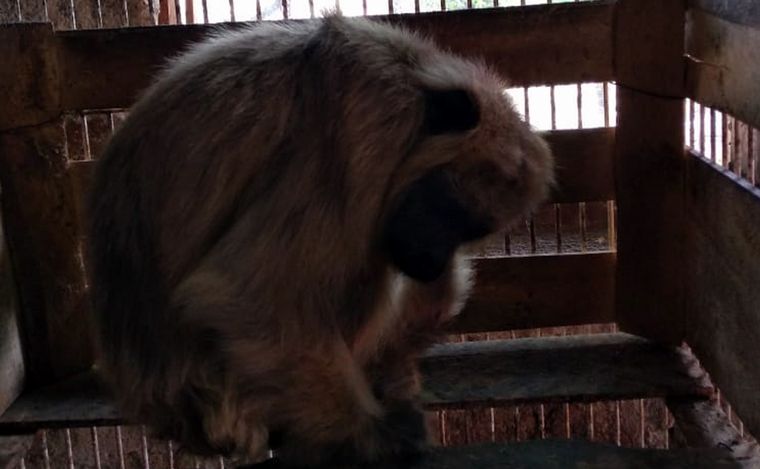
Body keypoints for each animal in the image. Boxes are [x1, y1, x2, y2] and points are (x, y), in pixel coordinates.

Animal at [87, 13, 554, 468]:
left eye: (470, 230)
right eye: (449, 209)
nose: (433, 260)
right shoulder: (366, 134)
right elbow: (246, 293)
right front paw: (373, 436)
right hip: (218, 401)